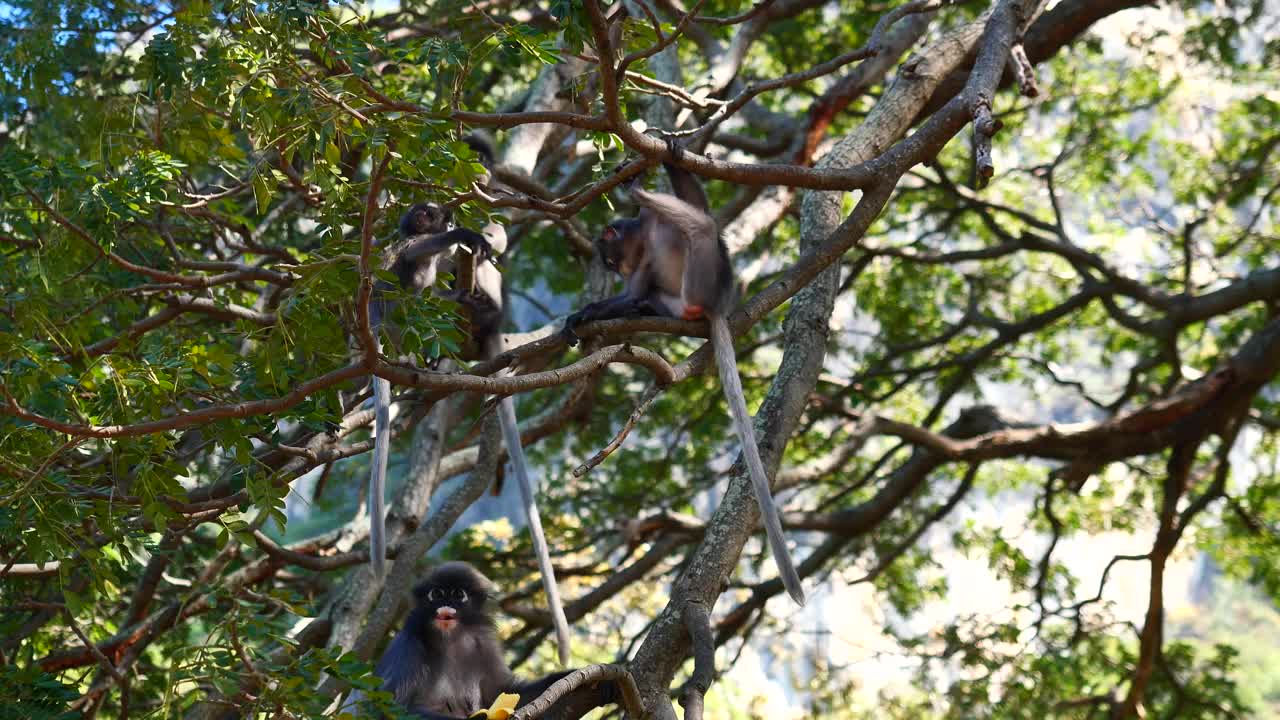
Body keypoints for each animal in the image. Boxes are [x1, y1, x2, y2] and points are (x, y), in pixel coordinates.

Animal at [368, 135, 573, 666]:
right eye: (424, 211)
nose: (432, 213)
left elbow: (490, 232)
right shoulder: (408, 242)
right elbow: (426, 249)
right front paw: (459, 232)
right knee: (421, 276)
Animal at [563, 144, 803, 604]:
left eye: (609, 259)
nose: (617, 270)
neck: (647, 231)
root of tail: (716, 304)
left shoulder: (646, 243)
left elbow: (699, 210)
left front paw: (663, 158)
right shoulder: (642, 260)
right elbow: (636, 288)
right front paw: (585, 315)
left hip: (701, 277)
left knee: (703, 228)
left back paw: (639, 193)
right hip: (680, 295)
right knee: (657, 288)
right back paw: (647, 309)